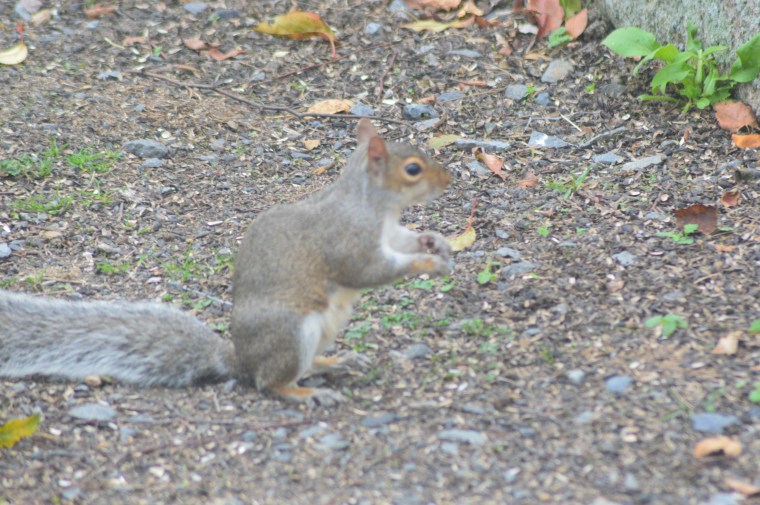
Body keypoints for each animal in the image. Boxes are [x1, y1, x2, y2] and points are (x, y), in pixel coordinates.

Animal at [0, 119, 452, 403]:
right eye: (413, 169)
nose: (448, 180)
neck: (374, 206)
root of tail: (238, 358)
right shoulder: (347, 242)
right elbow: (369, 271)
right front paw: (426, 265)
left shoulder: (390, 233)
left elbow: (407, 240)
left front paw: (435, 242)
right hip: (293, 331)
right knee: (270, 381)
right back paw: (306, 392)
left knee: (300, 366)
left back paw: (335, 361)